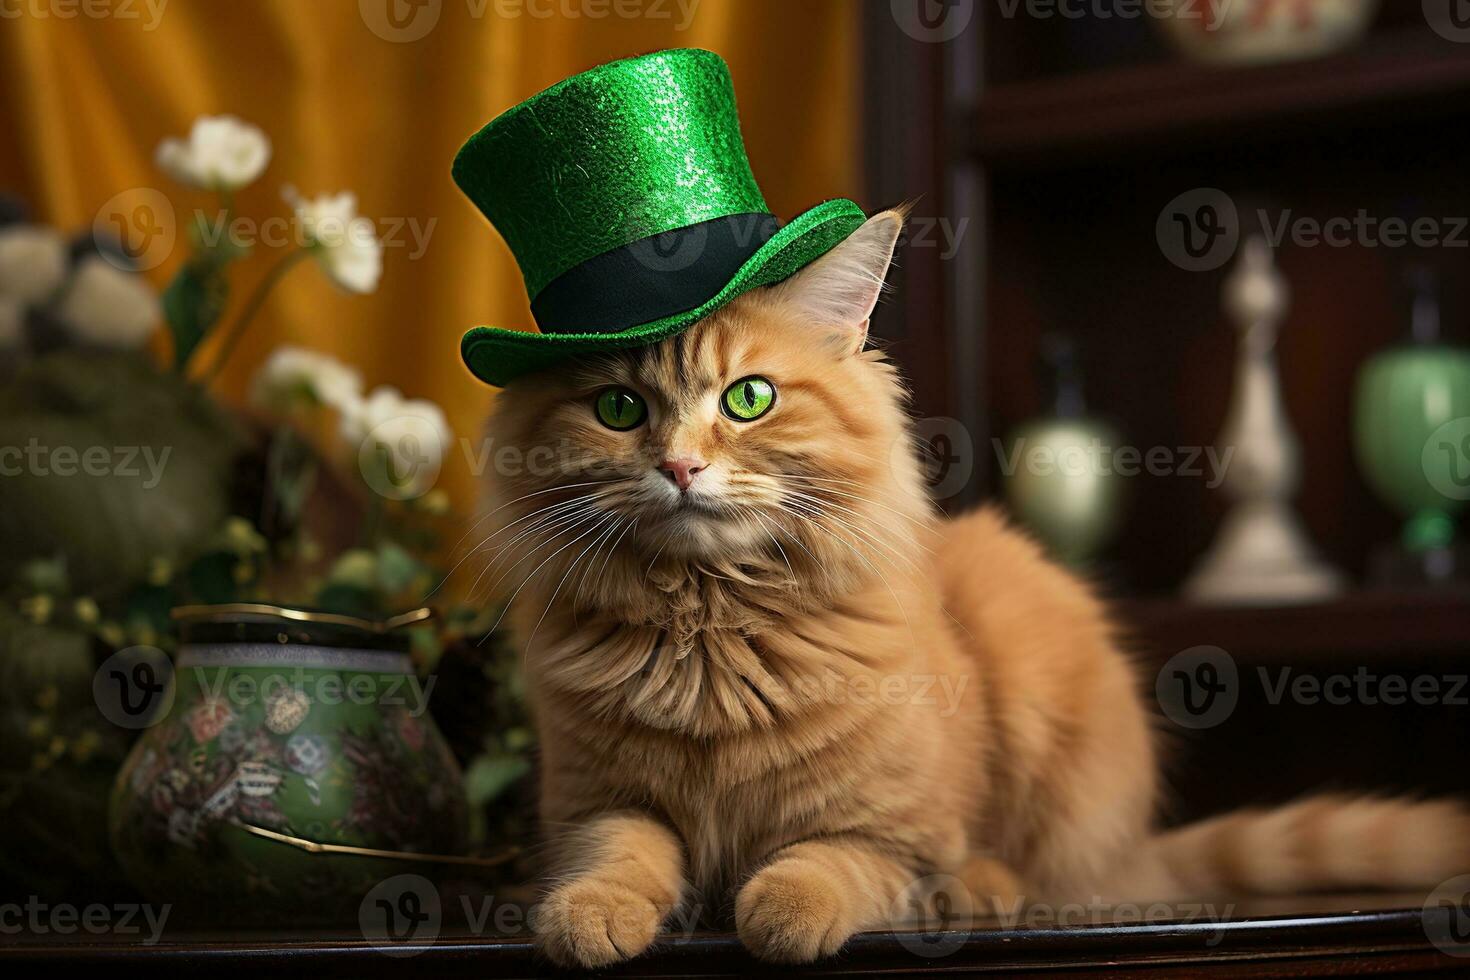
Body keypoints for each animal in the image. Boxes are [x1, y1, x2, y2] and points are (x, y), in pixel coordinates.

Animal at [482, 211, 1470, 969]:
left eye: (748, 398)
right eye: (619, 410)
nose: (681, 467)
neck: (713, 625)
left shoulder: (896, 831)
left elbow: (826, 866)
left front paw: (782, 914)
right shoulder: (597, 803)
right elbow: (619, 855)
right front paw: (589, 917)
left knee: (1047, 876)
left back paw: (980, 893)